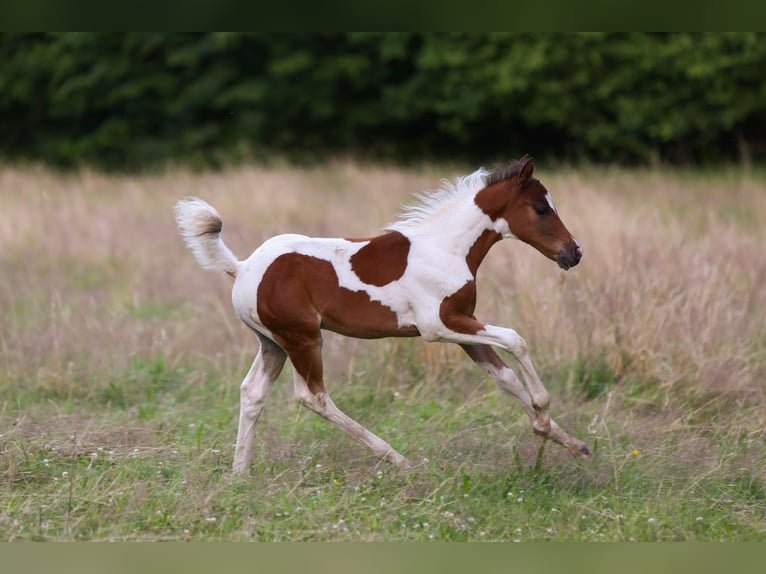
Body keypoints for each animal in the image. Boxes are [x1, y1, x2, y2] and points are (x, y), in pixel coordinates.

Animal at [177, 155, 592, 474]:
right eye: (541, 208)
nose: (574, 252)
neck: (446, 248)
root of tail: (242, 267)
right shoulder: (440, 325)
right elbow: (515, 340)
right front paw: (542, 416)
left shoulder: (464, 327)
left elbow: (504, 378)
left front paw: (570, 442)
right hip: (303, 338)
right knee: (313, 397)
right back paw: (397, 458)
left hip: (272, 344)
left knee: (252, 392)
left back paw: (239, 473)